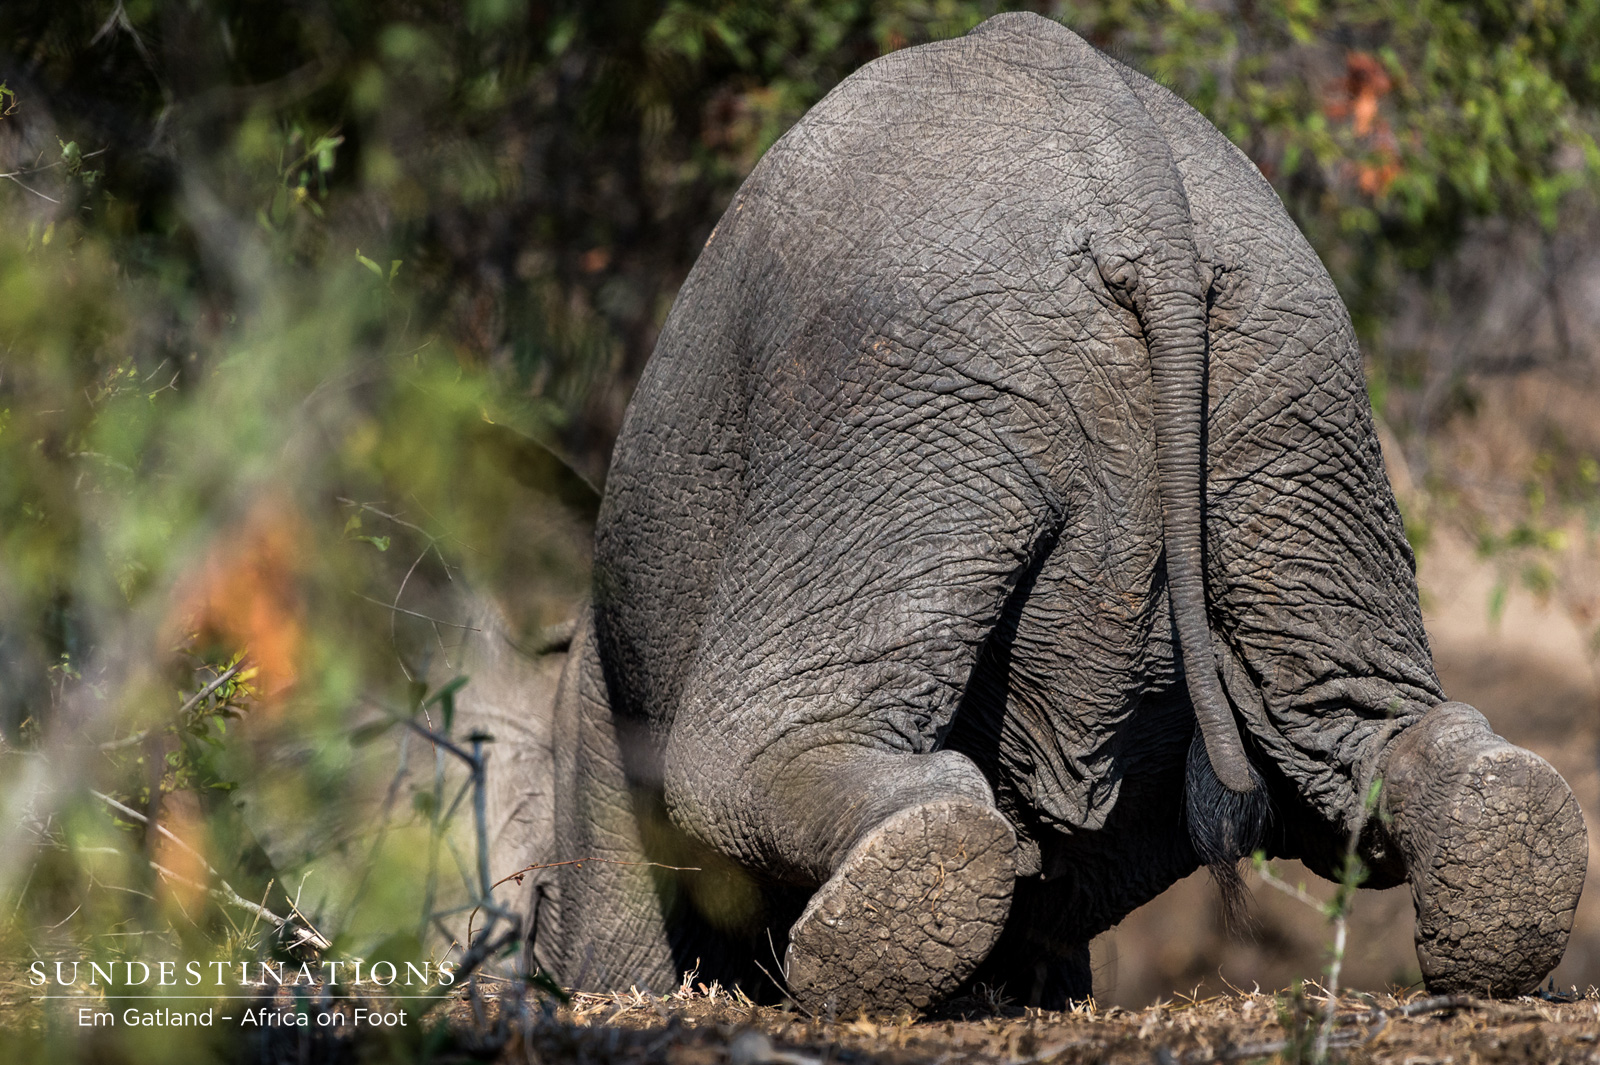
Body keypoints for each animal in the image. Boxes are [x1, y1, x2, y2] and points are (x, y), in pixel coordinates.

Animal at [518, 12, 1588, 1013]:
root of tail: (1148, 210)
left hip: (898, 388)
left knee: (729, 758)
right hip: (1294, 386)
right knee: (1351, 706)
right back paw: (1507, 845)